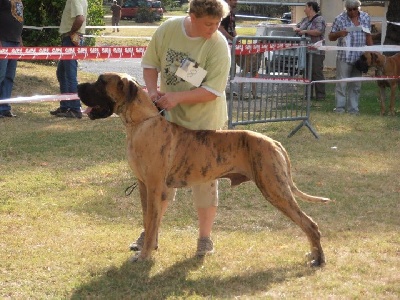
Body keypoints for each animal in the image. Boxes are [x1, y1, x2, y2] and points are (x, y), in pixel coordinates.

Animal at [76, 74, 330, 266]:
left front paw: (145, 255)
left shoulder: (155, 187)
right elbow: (149, 221)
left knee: (310, 224)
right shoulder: (144, 187)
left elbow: (151, 221)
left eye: (101, 82)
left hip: (275, 188)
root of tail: (274, 142)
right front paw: (150, 246)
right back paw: (313, 255)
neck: (141, 124)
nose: (77, 86)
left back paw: (318, 259)